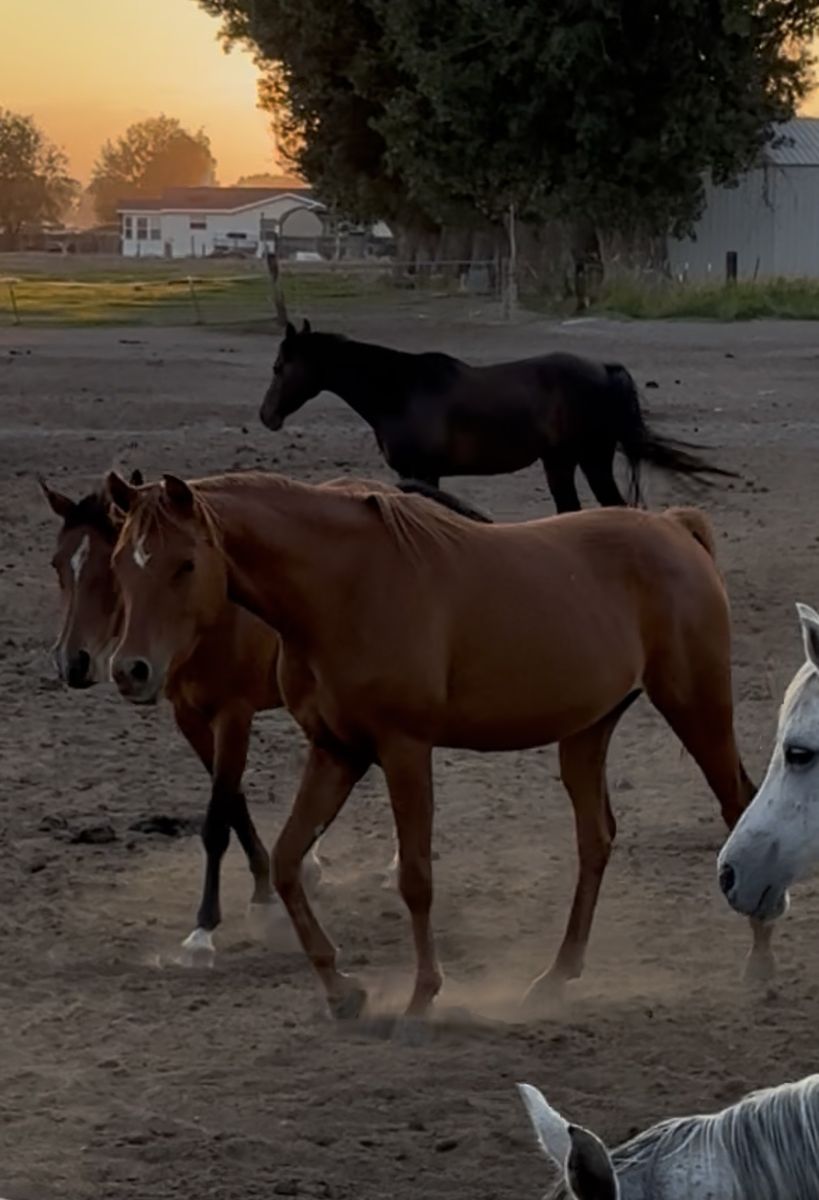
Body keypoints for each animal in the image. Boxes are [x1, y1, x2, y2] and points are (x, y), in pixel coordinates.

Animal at [42, 471, 491, 957]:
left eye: (106, 569)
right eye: (58, 565)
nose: (73, 663)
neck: (217, 613)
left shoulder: (233, 715)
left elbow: (218, 818)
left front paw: (205, 929)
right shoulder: (191, 719)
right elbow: (234, 804)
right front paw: (262, 889)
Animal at [104, 468, 774, 1020]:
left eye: (185, 563)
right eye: (119, 562)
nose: (130, 670)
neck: (341, 589)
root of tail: (674, 529)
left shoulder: (404, 749)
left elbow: (416, 877)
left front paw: (422, 995)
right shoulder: (336, 751)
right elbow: (290, 860)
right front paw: (342, 989)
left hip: (696, 707)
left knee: (738, 806)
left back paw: (760, 962)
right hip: (588, 730)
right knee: (596, 839)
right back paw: (556, 977)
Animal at [258, 320, 736, 514]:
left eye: (279, 367)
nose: (267, 416)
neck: (401, 392)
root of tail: (604, 368)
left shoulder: (422, 472)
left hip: (587, 460)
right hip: (565, 462)